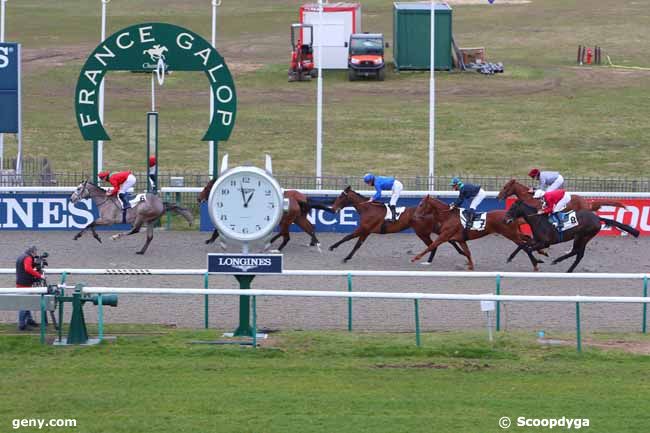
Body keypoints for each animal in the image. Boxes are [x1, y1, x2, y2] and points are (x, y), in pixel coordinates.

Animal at [197, 178, 332, 250]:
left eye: (206, 188)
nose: (198, 199)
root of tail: (300, 199)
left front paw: (210, 240)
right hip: (297, 218)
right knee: (309, 227)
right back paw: (314, 242)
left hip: (287, 220)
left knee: (286, 234)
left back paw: (277, 248)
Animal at [326, 186, 468, 264]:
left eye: (340, 196)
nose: (333, 208)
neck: (368, 208)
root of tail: (431, 211)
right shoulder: (366, 231)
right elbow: (357, 245)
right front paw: (347, 257)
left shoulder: (364, 229)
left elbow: (348, 238)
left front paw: (333, 247)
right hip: (431, 229)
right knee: (445, 240)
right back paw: (458, 252)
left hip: (422, 232)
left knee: (434, 244)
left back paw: (430, 260)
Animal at [410, 195, 540, 270]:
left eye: (421, 204)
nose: (415, 216)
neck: (448, 216)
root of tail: (511, 216)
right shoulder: (460, 239)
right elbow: (467, 252)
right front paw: (470, 265)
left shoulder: (444, 236)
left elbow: (431, 245)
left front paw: (415, 258)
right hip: (514, 233)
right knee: (527, 239)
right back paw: (539, 254)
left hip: (510, 234)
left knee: (524, 245)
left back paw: (535, 263)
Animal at [504, 198, 636, 270]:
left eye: (512, 208)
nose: (506, 220)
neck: (538, 220)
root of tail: (597, 218)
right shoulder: (536, 240)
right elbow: (523, 245)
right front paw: (510, 258)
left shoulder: (544, 243)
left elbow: (528, 249)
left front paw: (537, 261)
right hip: (584, 237)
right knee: (578, 253)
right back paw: (564, 267)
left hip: (582, 236)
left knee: (577, 253)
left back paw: (561, 264)